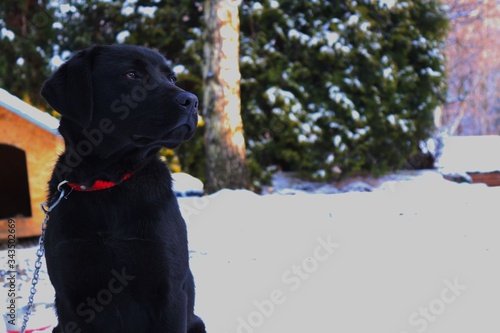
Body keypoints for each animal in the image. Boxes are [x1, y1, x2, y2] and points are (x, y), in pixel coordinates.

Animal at [40, 46, 205, 332]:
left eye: (172, 78)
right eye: (131, 74)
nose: (192, 101)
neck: (108, 181)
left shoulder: (169, 292)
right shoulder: (71, 298)